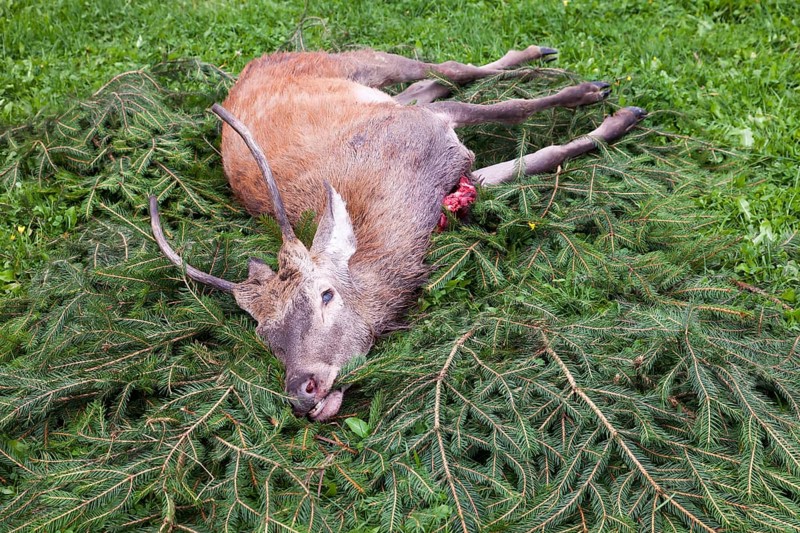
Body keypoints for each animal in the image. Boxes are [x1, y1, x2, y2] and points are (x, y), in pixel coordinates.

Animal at [149, 46, 646, 421]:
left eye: (326, 295)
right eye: (263, 336)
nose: (302, 391)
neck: (409, 210)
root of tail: (258, 62)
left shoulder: (434, 130)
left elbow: (514, 110)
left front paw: (607, 107)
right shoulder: (457, 178)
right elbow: (536, 160)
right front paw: (607, 123)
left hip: (356, 62)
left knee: (449, 69)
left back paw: (557, 67)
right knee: (428, 85)